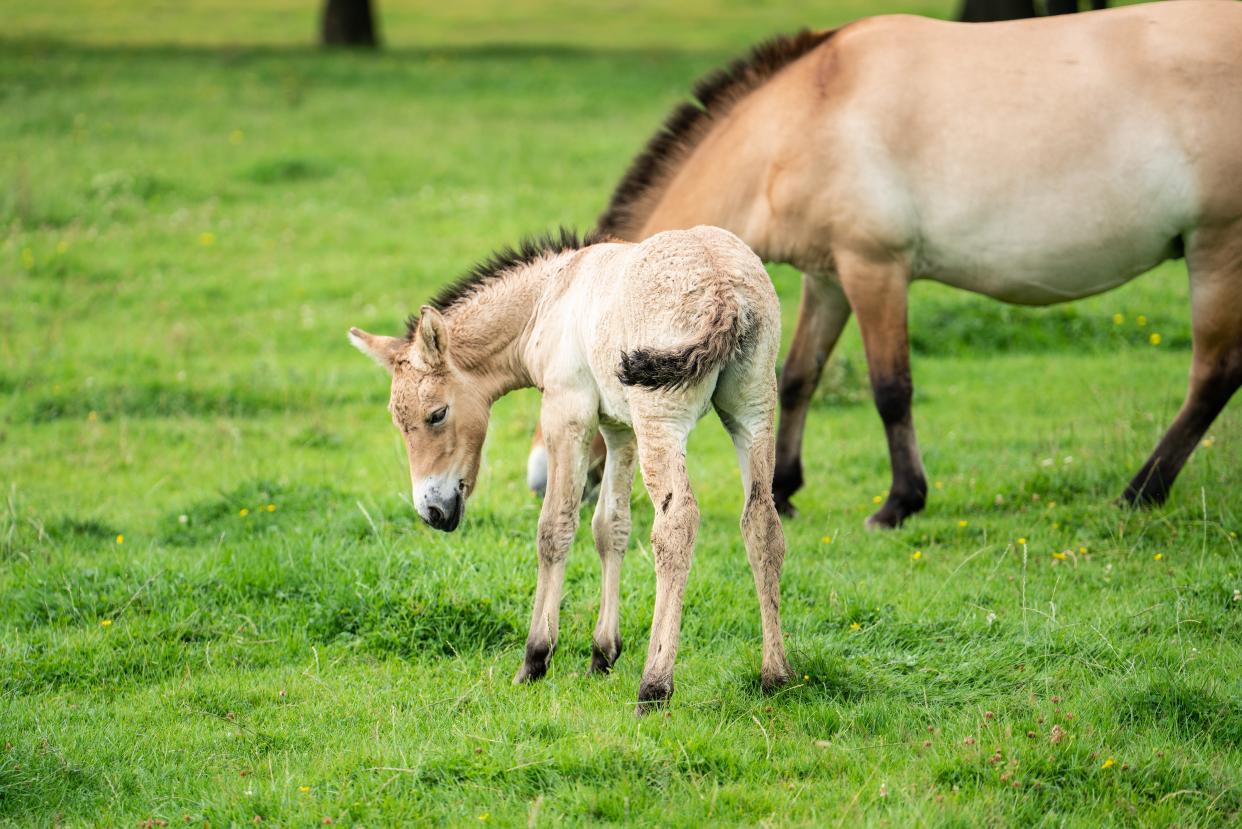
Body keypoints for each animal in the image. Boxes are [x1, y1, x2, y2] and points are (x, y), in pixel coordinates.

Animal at [347, 227, 794, 715]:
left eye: (437, 414)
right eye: (397, 421)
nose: (432, 511)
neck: (553, 295)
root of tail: (724, 288)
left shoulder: (567, 413)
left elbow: (554, 529)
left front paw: (535, 658)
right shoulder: (619, 428)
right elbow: (610, 527)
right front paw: (603, 654)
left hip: (663, 420)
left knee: (676, 525)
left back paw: (654, 687)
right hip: (753, 410)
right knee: (761, 523)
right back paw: (776, 677)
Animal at [526, 1, 1242, 531]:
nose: (539, 478)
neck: (805, 117)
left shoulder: (874, 270)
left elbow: (890, 386)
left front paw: (899, 503)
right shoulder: (829, 278)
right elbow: (799, 377)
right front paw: (783, 488)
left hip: (1217, 249)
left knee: (1213, 374)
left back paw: (1141, 491)